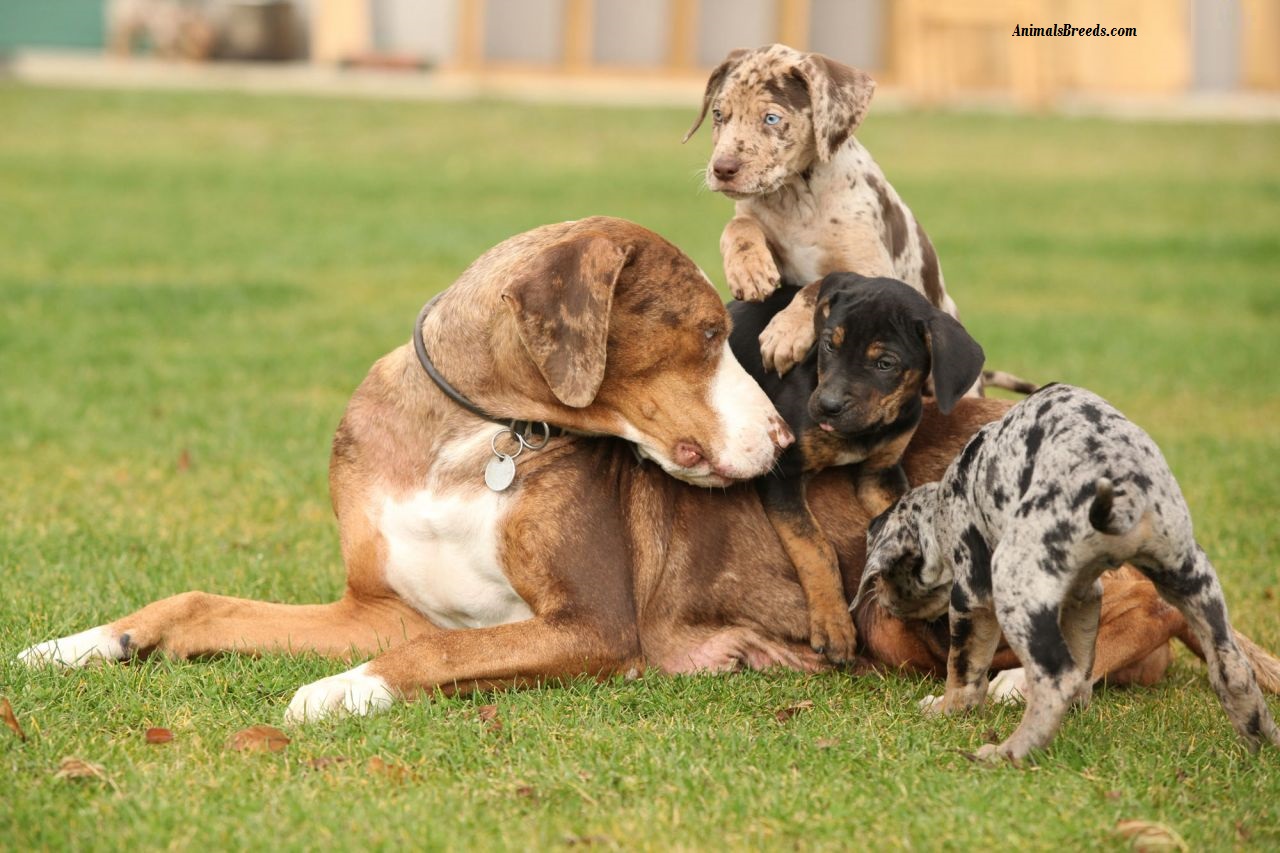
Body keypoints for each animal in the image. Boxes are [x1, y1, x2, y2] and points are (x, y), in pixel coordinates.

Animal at [727, 270, 983, 655]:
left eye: (885, 364)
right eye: (829, 345)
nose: (827, 406)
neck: (863, 432)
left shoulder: (880, 473)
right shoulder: (782, 474)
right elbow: (815, 547)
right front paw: (833, 623)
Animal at [860, 381, 1280, 758]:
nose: (882, 603)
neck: (945, 503)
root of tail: (1125, 493)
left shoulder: (972, 599)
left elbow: (963, 670)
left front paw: (946, 710)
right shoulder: (1085, 596)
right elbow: (1083, 658)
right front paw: (1080, 705)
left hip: (1015, 592)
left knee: (1054, 679)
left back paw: (1009, 752)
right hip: (1195, 583)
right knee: (1233, 670)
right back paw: (1262, 743)